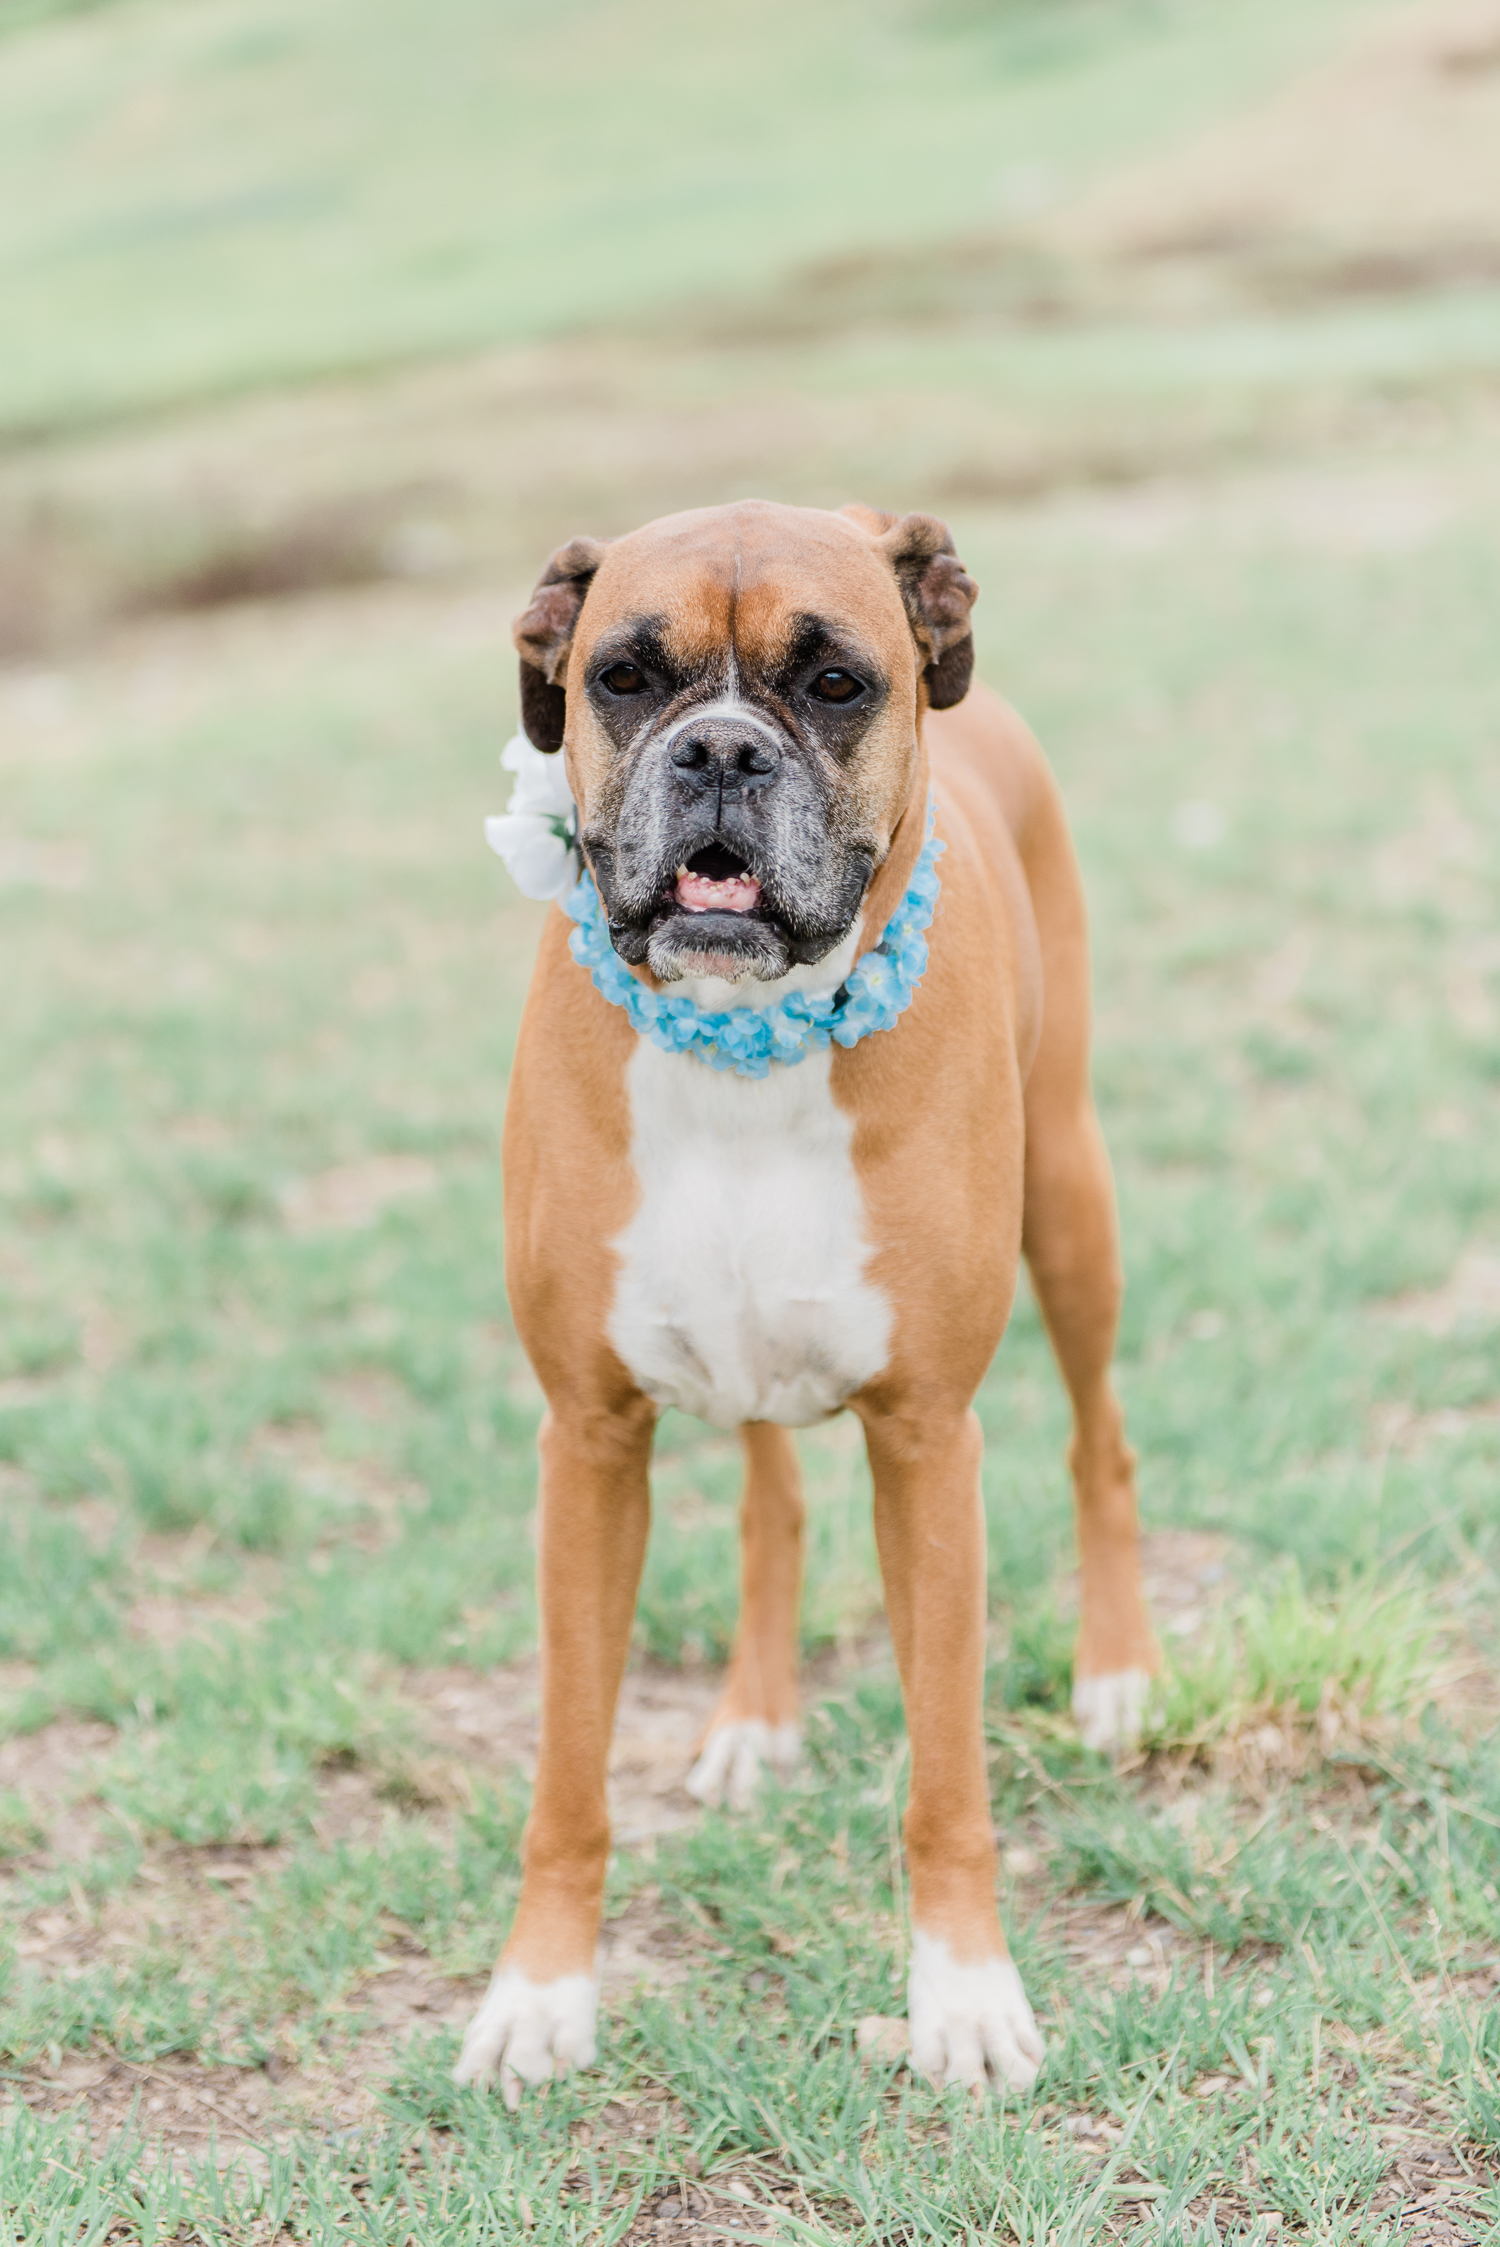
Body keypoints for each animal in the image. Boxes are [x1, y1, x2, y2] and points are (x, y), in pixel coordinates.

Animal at [458, 496, 1158, 2103]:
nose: (720, 752)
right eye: (622, 677)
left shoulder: (928, 1442)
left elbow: (947, 1772)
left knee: (1102, 1441)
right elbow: (569, 1769)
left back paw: (1116, 1674)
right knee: (771, 1499)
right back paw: (754, 1717)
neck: (743, 1048)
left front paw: (964, 1996)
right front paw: (540, 1993)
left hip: (1071, 1201)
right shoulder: (590, 1443)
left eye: (835, 683)